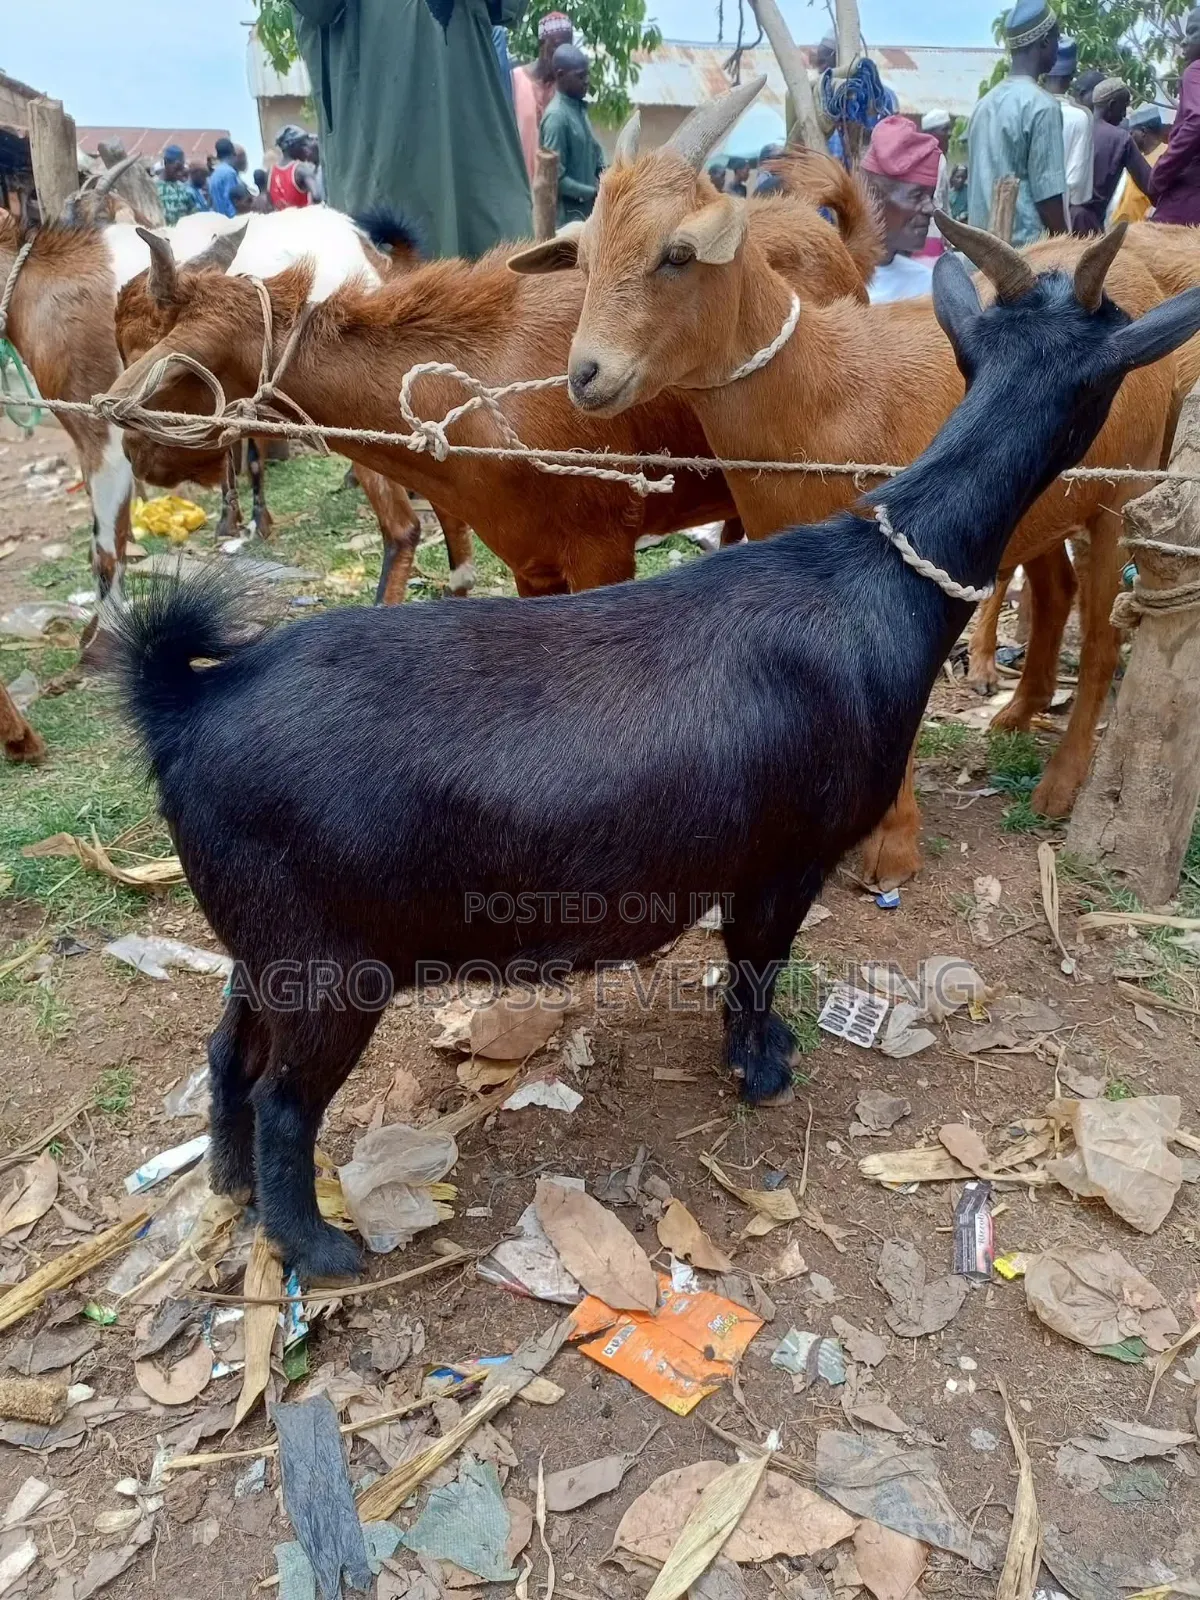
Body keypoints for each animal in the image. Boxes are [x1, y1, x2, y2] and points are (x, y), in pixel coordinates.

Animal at [108, 156, 880, 598]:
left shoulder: (601, 552)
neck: (475, 390)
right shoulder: (531, 562)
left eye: (146, 349)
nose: (137, 456)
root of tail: (829, 237)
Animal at [108, 230, 1200, 1277]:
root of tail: (189, 703)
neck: (879, 580)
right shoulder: (786, 856)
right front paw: (762, 1068)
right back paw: (314, 1246)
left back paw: (230, 1184)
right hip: (328, 963)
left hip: (264, 938)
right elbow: (755, 967)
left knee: (226, 1052)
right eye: (1114, 360)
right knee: (285, 1096)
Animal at [524, 80, 1198, 886]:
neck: (823, 388)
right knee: (1056, 591)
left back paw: (1060, 786)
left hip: (1120, 499)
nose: (587, 376)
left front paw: (891, 848)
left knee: (1101, 639)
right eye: (586, 259)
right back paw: (1016, 711)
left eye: (677, 254)